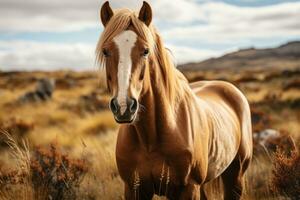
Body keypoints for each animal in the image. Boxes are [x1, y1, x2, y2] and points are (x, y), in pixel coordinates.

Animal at [96, 1, 253, 200]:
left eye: (145, 51)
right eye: (105, 51)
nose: (124, 106)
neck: (151, 138)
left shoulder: (188, 188)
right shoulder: (134, 188)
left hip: (235, 175)